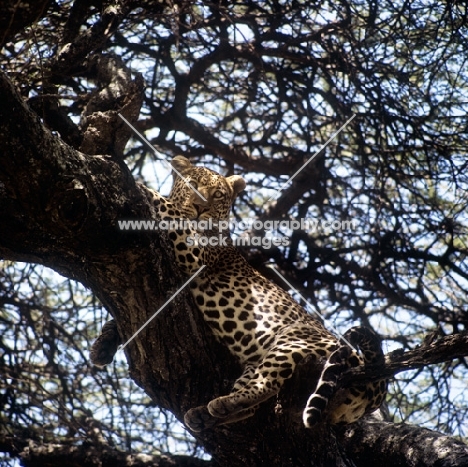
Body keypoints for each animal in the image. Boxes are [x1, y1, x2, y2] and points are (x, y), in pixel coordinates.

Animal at [88, 156, 388, 432]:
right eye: (192, 185)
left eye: (218, 195)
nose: (200, 207)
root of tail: (375, 385)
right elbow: (119, 322)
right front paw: (102, 346)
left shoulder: (193, 254)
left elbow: (170, 209)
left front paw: (137, 184)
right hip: (255, 361)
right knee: (252, 401)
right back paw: (207, 412)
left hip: (294, 338)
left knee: (269, 384)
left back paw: (221, 405)